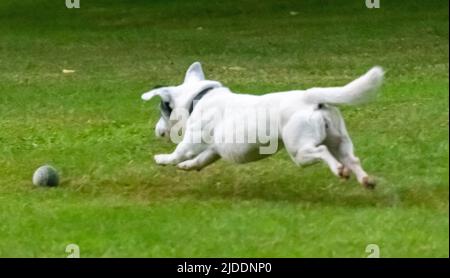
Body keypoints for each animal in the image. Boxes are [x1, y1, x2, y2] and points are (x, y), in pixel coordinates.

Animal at [143, 62, 384, 189]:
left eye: (162, 111)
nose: (157, 131)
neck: (198, 98)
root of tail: (310, 98)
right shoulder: (214, 150)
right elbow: (200, 160)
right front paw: (187, 166)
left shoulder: (192, 140)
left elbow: (179, 152)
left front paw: (163, 159)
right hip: (339, 141)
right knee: (352, 159)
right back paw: (366, 180)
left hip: (300, 151)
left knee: (323, 152)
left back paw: (340, 171)